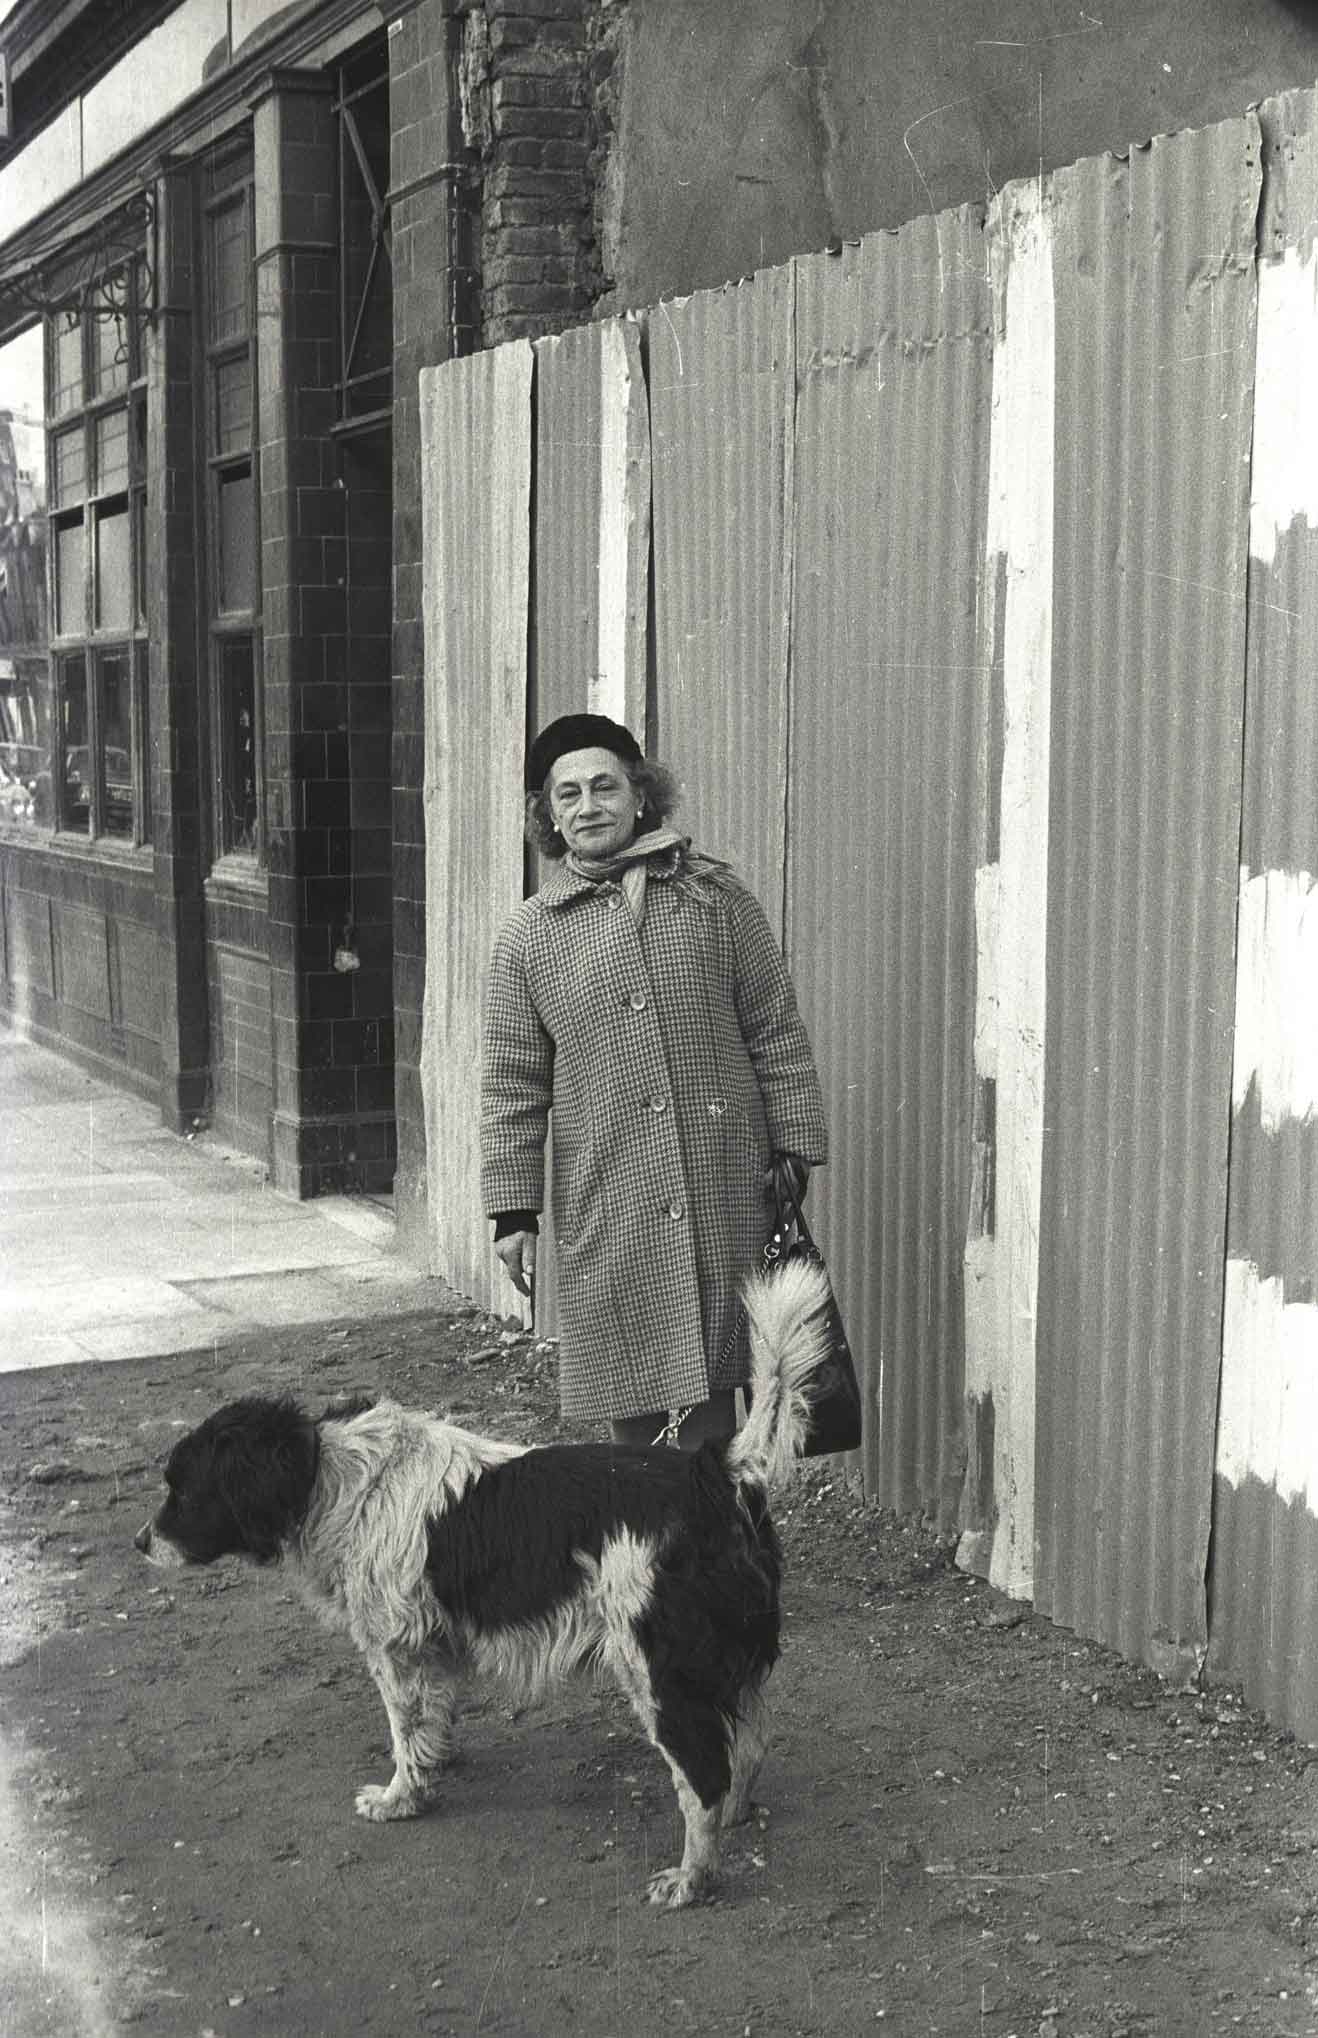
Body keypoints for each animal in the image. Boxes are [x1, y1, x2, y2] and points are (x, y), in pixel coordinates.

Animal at [139, 1255, 831, 1907]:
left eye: (183, 1490)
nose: (139, 1543)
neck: (332, 1478)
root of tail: (717, 1473)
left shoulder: (394, 1649)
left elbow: (403, 1729)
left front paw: (399, 1797)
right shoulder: (431, 1643)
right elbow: (432, 1719)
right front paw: (434, 1764)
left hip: (659, 1673)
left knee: (704, 1777)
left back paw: (692, 1878)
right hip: (720, 1666)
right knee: (750, 1745)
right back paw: (734, 1821)